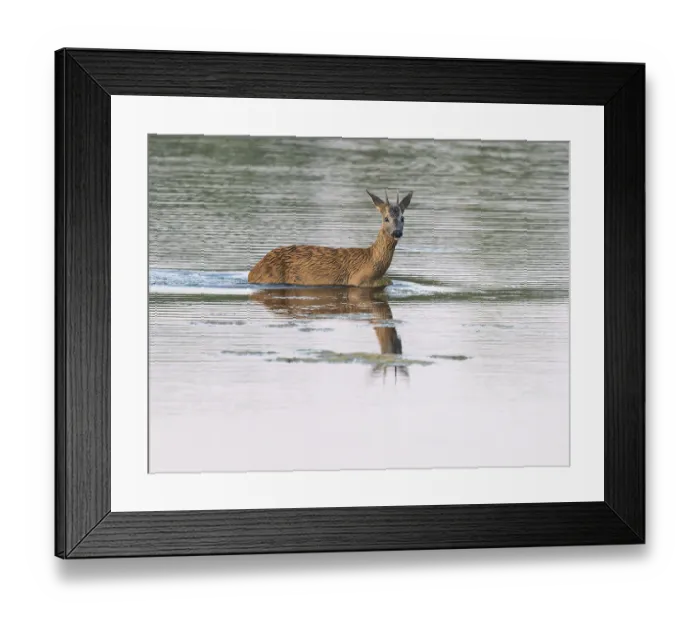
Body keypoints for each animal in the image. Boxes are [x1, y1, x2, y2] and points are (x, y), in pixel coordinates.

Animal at [247, 190, 413, 287]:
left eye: (403, 218)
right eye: (386, 218)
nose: (397, 232)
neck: (370, 260)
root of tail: (252, 272)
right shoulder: (356, 280)